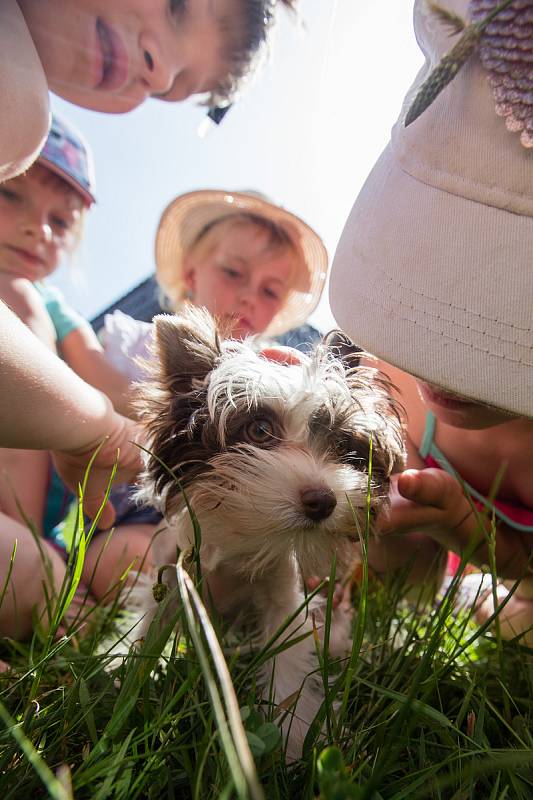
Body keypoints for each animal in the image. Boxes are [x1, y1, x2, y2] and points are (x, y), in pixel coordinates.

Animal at [133, 308, 404, 764]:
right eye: (259, 430)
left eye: (342, 445)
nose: (324, 501)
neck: (242, 532)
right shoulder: (171, 578)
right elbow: (149, 632)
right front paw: (122, 680)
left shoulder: (281, 598)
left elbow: (290, 659)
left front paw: (295, 738)